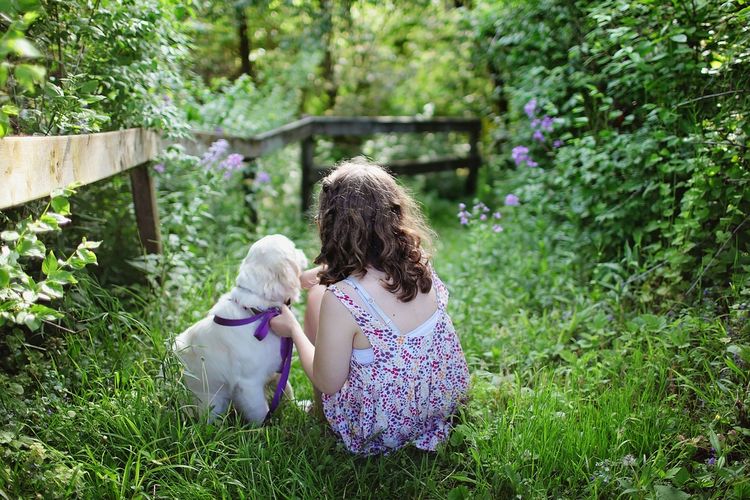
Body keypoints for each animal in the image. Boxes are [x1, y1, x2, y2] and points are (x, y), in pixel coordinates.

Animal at [173, 236, 306, 424]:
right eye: (293, 249)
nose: (302, 251)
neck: (258, 313)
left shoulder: (277, 368)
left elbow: (287, 389)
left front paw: (299, 407)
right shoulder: (249, 384)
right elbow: (260, 411)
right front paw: (267, 428)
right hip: (212, 402)